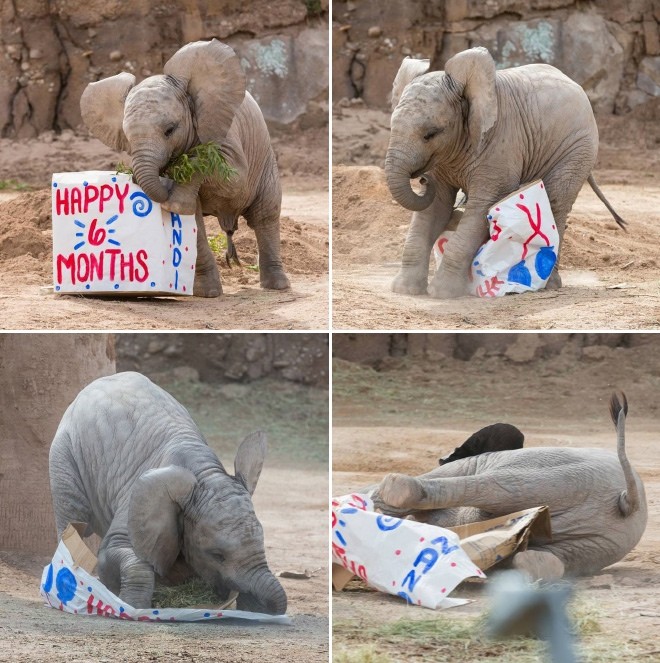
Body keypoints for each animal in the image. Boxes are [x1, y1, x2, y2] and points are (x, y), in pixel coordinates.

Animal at [50, 370, 288, 616]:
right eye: (217, 555)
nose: (254, 605)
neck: (206, 474)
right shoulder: (136, 499)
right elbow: (113, 553)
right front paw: (132, 607)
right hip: (64, 452)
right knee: (74, 518)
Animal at [374, 394, 648, 580]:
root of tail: (629, 502)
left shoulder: (467, 463)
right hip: (603, 543)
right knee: (554, 558)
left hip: (561, 480)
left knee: (498, 488)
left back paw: (395, 489)